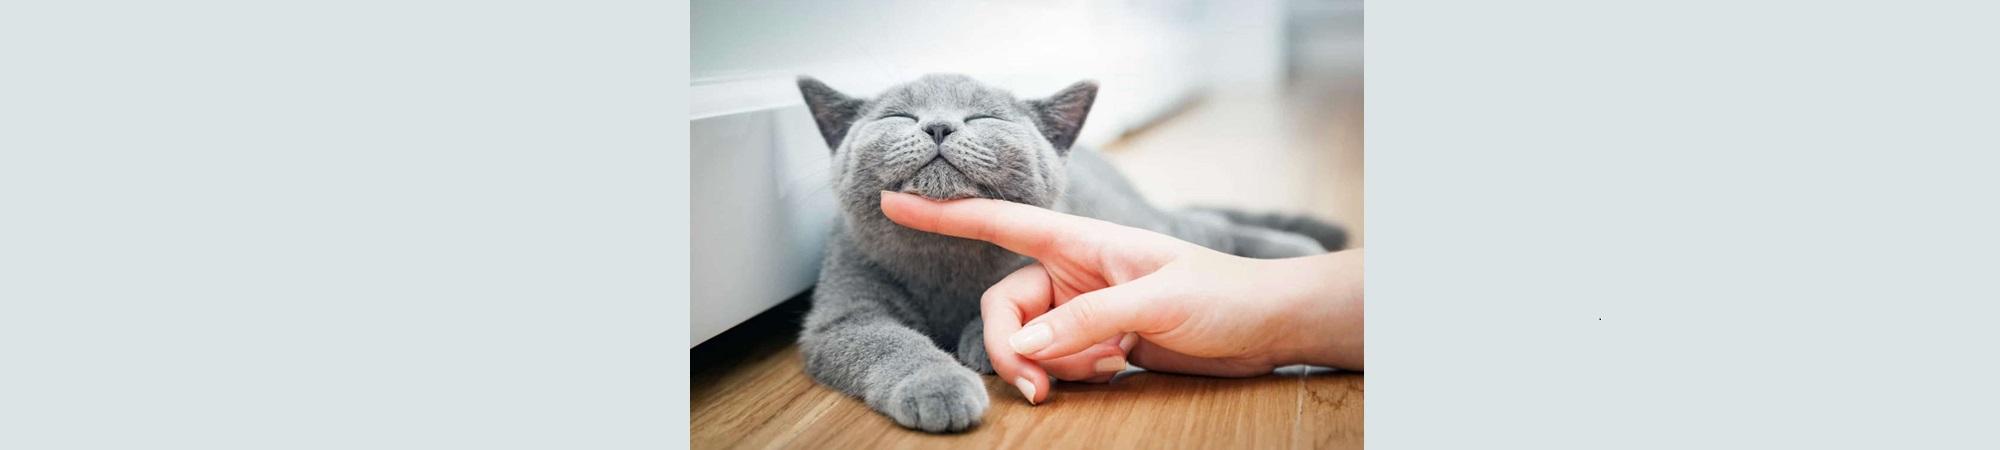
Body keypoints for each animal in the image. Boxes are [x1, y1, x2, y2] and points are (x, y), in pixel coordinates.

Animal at [796, 74, 1344, 432]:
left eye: (983, 116)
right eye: (898, 116)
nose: (938, 126)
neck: (945, 257)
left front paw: (983, 342)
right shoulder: (844, 314)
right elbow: (889, 343)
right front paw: (940, 385)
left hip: (1138, 222)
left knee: (1204, 229)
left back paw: (1300, 249)